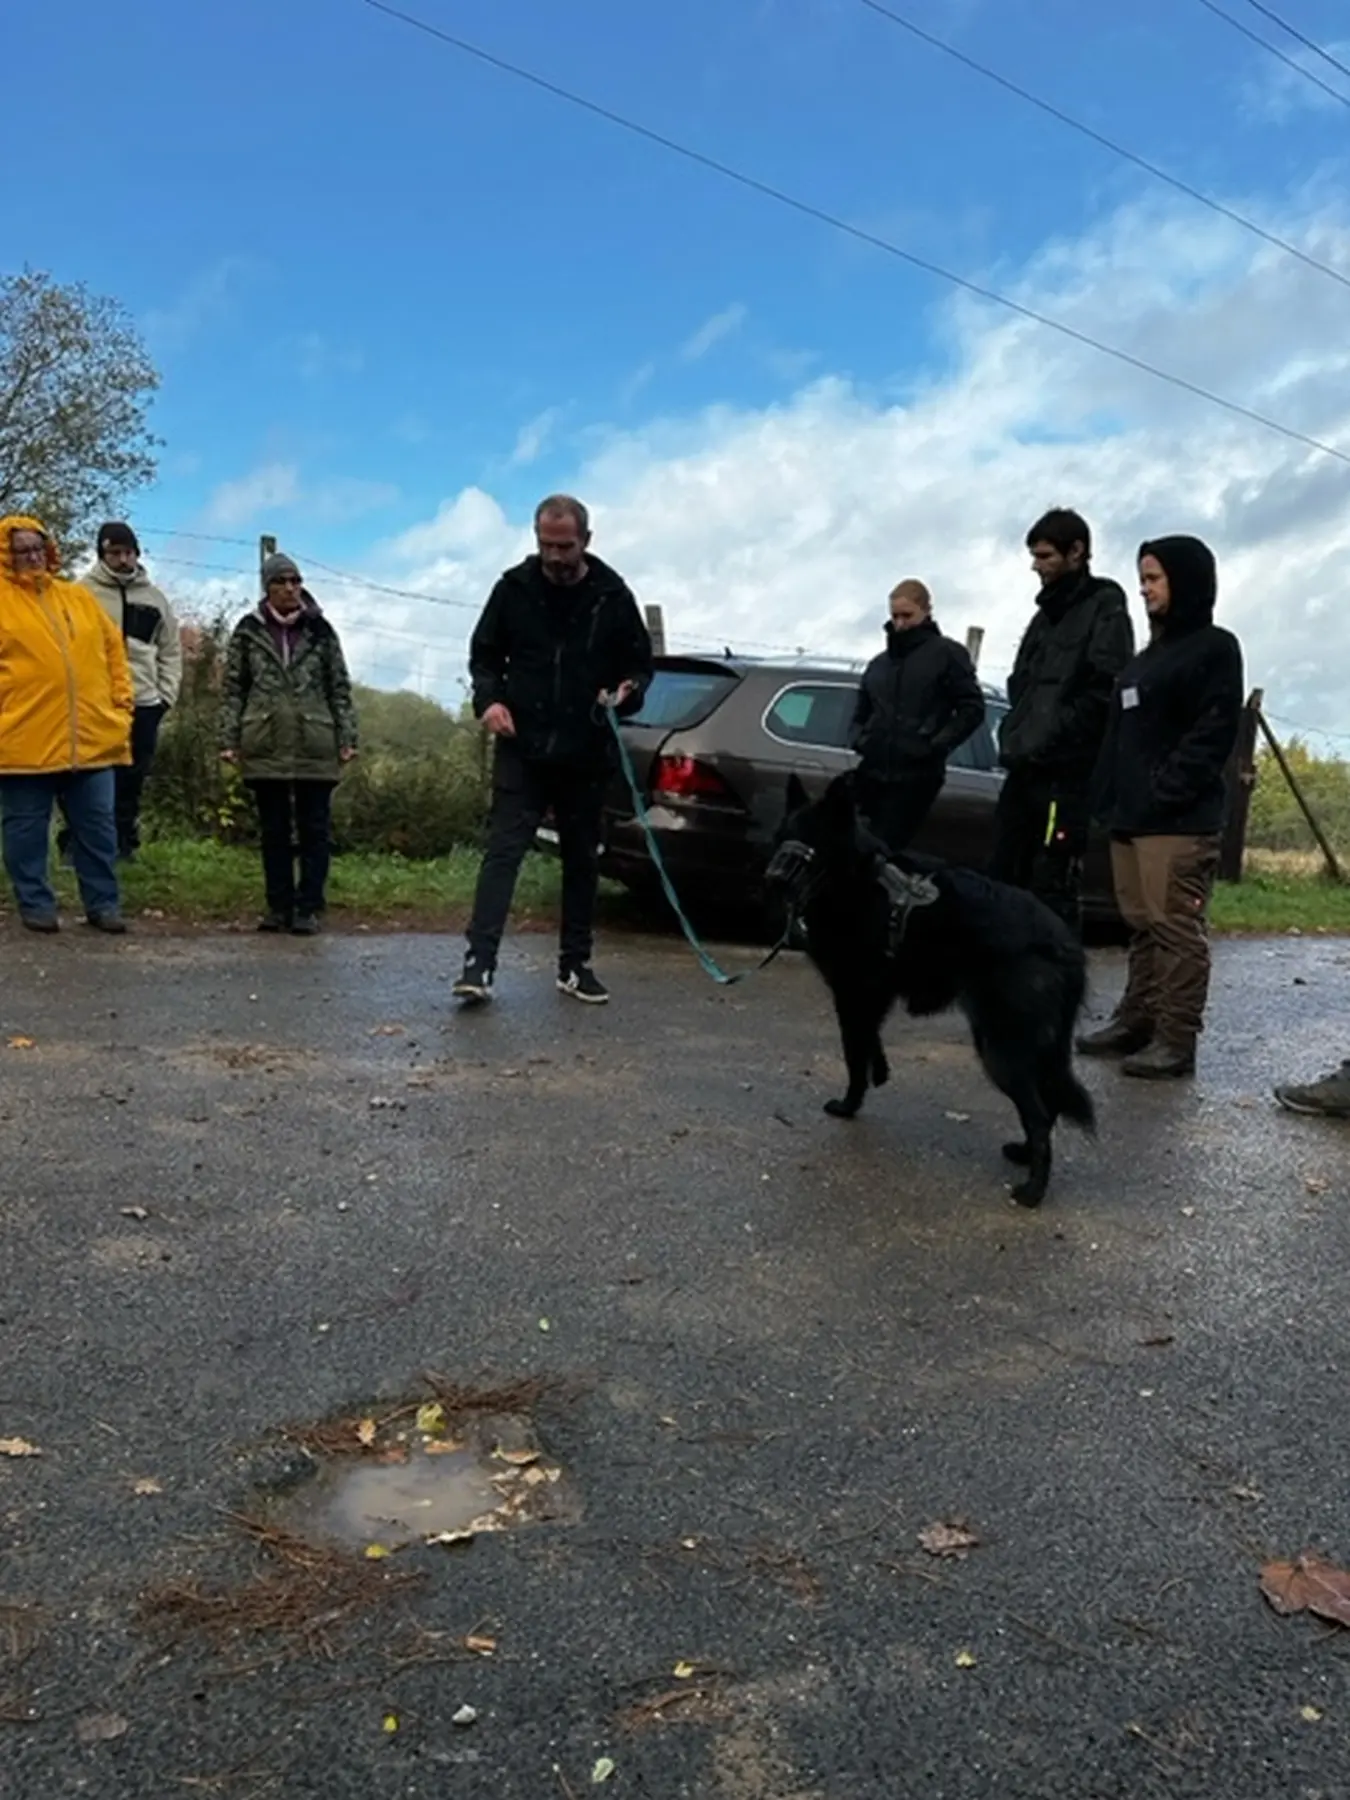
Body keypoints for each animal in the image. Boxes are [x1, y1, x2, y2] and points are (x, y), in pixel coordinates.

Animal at [770, 774, 1101, 1209]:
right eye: (784, 836)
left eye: (814, 841)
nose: (773, 878)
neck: (859, 878)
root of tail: (1065, 946)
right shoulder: (871, 998)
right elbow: (870, 1043)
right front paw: (880, 1072)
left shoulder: (852, 995)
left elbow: (854, 1056)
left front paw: (849, 1105)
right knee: (1046, 1108)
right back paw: (1024, 1155)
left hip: (1001, 1050)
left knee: (1040, 1115)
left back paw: (1033, 1190)